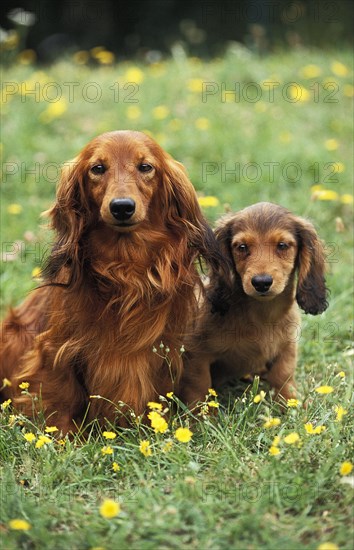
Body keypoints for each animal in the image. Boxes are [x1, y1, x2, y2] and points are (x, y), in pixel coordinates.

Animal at [180, 202, 330, 406]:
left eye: (282, 245)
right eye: (242, 247)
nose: (261, 282)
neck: (262, 314)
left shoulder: (287, 347)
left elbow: (283, 376)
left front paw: (292, 405)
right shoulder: (196, 354)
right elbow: (200, 387)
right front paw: (201, 414)